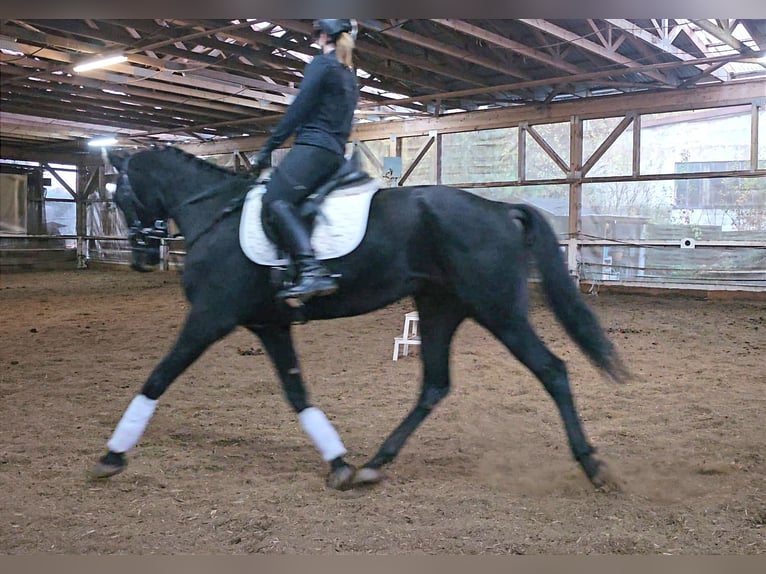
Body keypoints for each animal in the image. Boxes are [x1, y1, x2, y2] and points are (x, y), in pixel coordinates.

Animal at [93, 146, 632, 492]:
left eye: (119, 197)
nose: (142, 258)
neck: (216, 215)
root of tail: (501, 209)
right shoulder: (270, 326)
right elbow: (297, 394)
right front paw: (338, 462)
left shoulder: (210, 316)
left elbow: (158, 377)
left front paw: (112, 455)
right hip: (439, 307)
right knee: (434, 384)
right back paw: (375, 463)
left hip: (497, 309)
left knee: (551, 370)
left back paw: (594, 467)